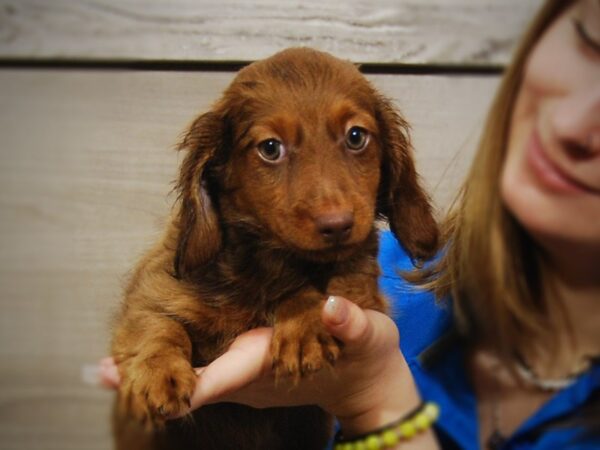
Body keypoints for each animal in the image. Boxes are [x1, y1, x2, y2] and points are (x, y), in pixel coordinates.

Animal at [112, 46, 438, 450]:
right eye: (270, 148)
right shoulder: (153, 290)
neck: (266, 262)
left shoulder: (362, 298)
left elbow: (304, 292)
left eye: (356, 137)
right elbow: (157, 326)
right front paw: (157, 374)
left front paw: (302, 327)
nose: (337, 225)